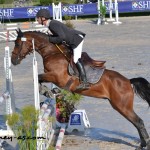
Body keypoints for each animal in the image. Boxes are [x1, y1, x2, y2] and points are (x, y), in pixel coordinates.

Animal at [10, 28, 150, 149]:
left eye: (17, 44)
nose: (13, 60)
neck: (52, 52)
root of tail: (128, 81)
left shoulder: (56, 76)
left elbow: (37, 78)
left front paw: (47, 91)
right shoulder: (52, 77)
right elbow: (39, 79)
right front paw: (51, 91)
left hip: (122, 106)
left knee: (138, 121)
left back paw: (145, 144)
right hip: (120, 106)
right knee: (136, 122)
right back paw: (142, 143)